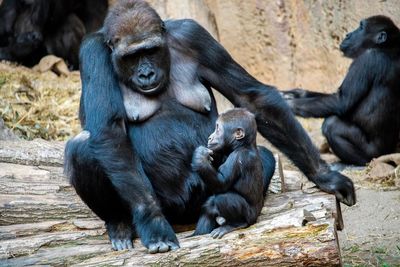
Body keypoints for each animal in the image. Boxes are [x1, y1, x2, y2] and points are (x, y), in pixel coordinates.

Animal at [191, 109, 266, 239]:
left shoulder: (238, 157)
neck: (242, 145)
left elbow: (222, 183)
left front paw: (200, 158)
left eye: (218, 129)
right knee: (209, 204)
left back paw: (236, 224)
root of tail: (256, 217)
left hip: (250, 217)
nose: (210, 137)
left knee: (224, 198)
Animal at [282, 15, 400, 166]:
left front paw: (286, 105)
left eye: (361, 27)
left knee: (332, 125)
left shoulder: (368, 58)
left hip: (374, 152)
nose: (348, 35)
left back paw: (361, 162)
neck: (386, 47)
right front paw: (291, 94)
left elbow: (340, 100)